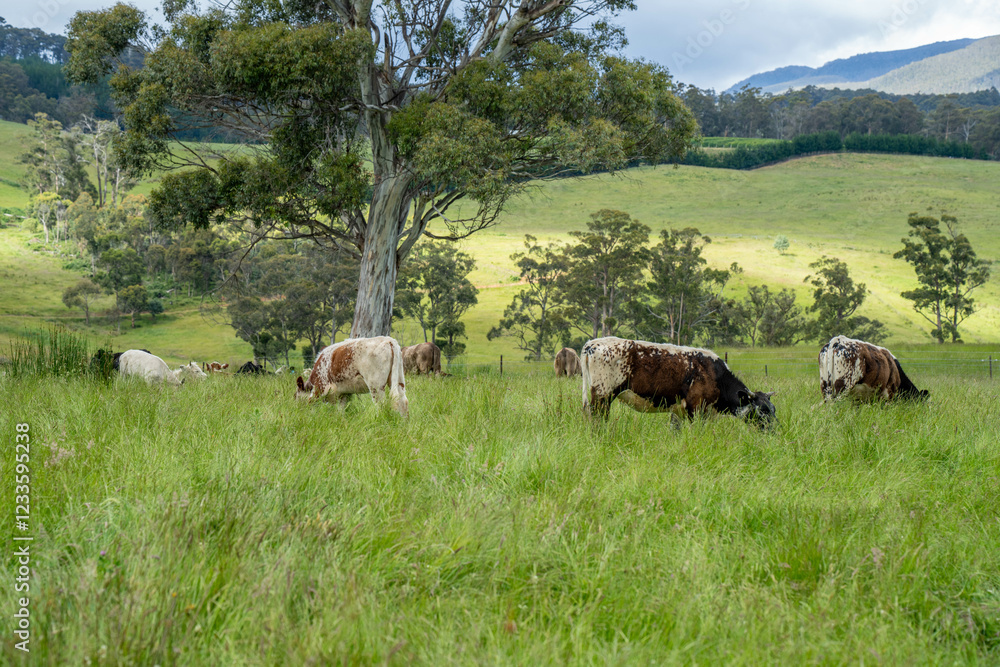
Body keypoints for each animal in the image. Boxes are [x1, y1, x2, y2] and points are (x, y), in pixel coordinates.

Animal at [580, 336, 776, 428]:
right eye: (762, 411)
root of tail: (593, 343)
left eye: (773, 409)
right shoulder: (695, 408)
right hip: (603, 395)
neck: (715, 376)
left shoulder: (678, 412)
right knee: (598, 417)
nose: (774, 430)